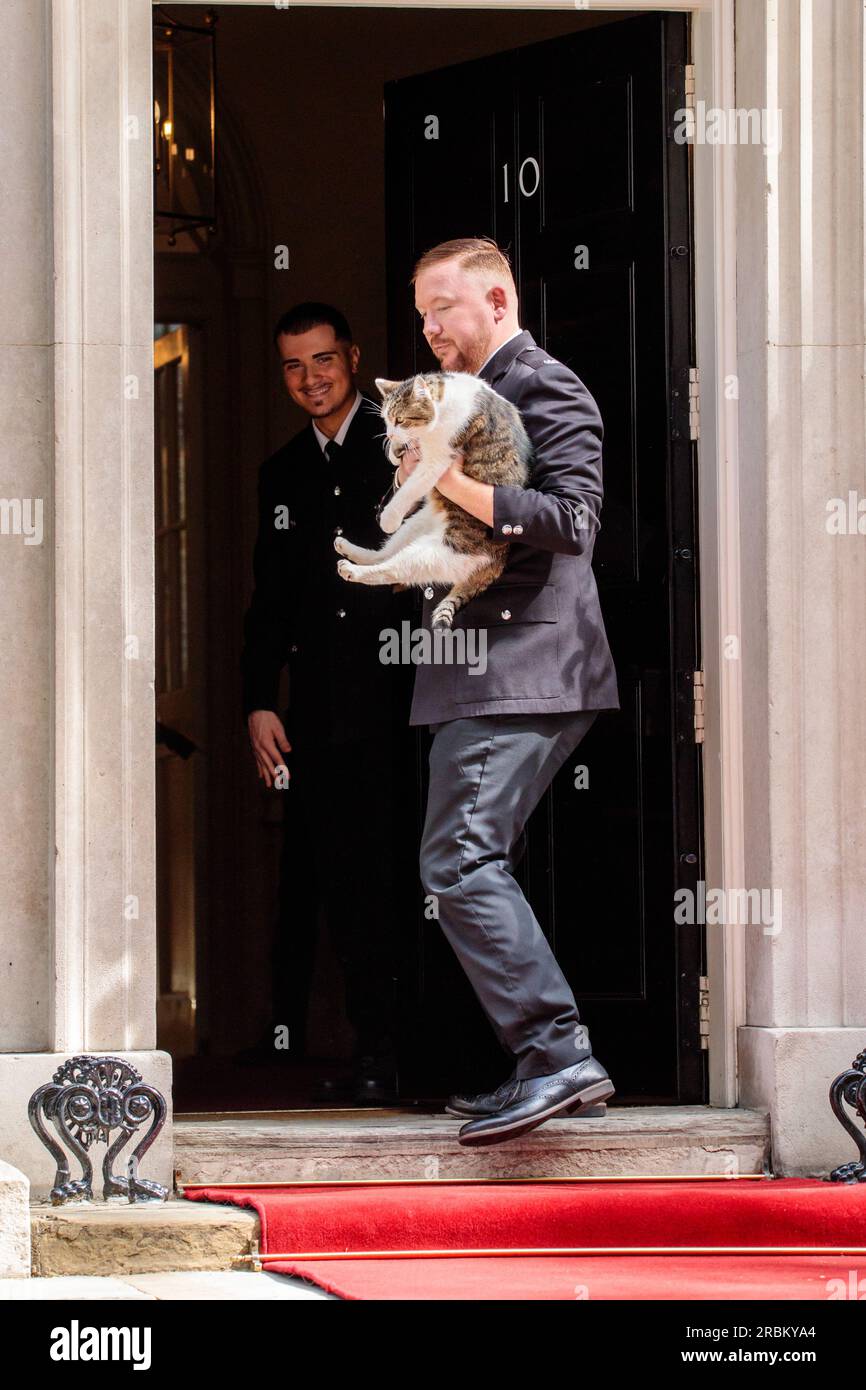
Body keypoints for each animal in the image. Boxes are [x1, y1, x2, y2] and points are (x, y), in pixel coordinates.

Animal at [333, 372, 530, 628]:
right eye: (385, 420)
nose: (389, 434)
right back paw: (348, 550)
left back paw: (353, 571)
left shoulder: (438, 459)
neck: (445, 398)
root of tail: (497, 563)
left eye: (400, 420)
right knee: (383, 555)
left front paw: (388, 517)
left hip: (435, 554)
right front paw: (395, 451)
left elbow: (411, 487)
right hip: (414, 526)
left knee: (391, 569)